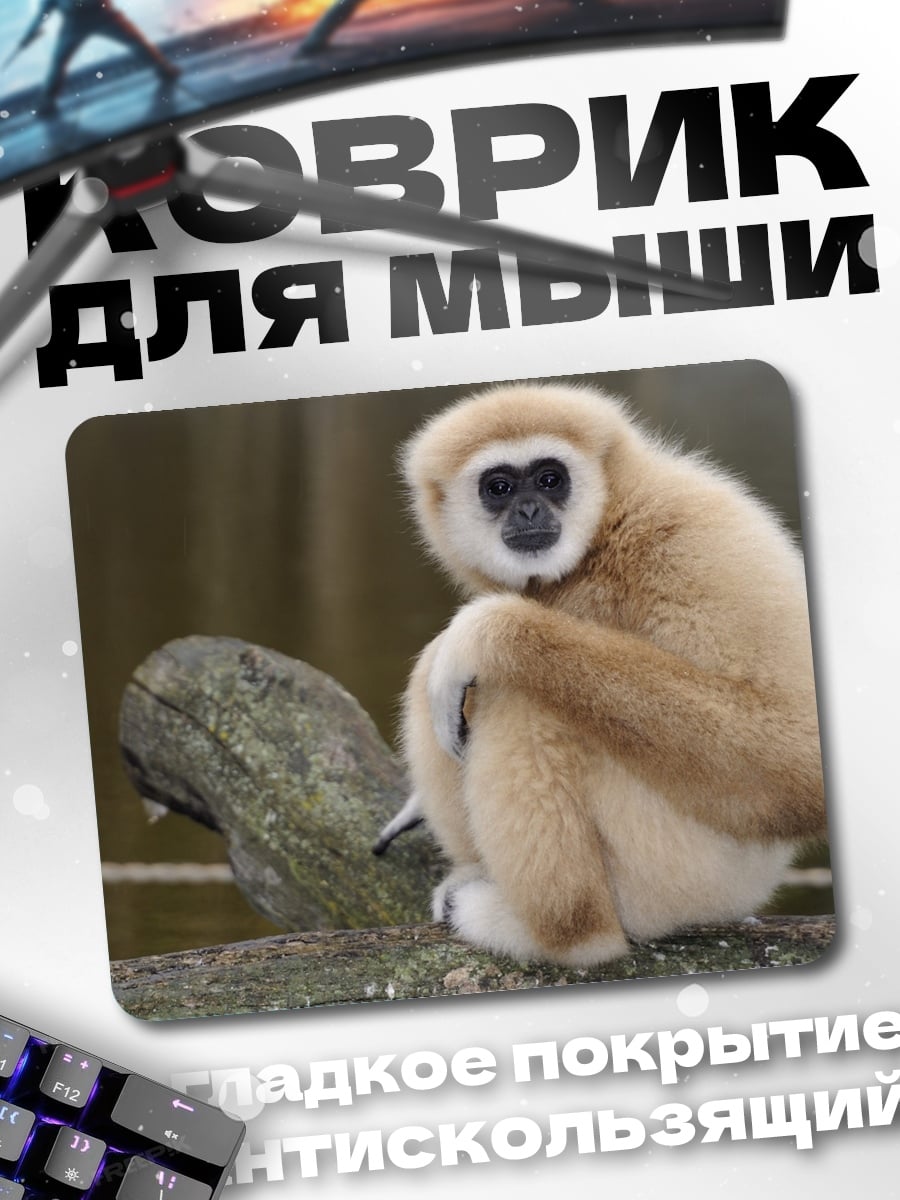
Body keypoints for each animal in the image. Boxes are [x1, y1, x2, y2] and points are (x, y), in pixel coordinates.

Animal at [377, 381, 826, 967]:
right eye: (499, 487)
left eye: (550, 479)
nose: (528, 508)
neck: (603, 533)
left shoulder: (692, 537)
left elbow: (794, 759)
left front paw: (488, 630)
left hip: (680, 872)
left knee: (514, 696)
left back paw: (564, 937)